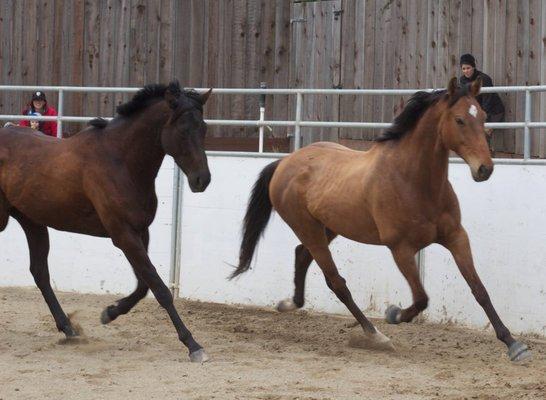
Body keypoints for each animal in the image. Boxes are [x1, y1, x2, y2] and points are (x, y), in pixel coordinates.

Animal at [0, 81, 211, 362]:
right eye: (183, 129)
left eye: (204, 128)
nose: (202, 180)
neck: (121, 160)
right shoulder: (123, 235)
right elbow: (159, 288)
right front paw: (193, 345)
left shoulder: (139, 232)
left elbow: (143, 285)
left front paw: (110, 313)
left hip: (32, 221)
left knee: (40, 272)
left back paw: (68, 329)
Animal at [233, 78, 528, 362]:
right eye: (459, 120)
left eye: (483, 116)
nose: (485, 169)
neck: (413, 181)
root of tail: (284, 163)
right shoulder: (401, 248)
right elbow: (421, 299)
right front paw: (394, 313)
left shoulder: (456, 236)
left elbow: (479, 290)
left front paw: (513, 344)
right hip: (307, 228)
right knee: (337, 282)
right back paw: (375, 335)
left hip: (328, 228)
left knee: (302, 255)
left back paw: (290, 303)